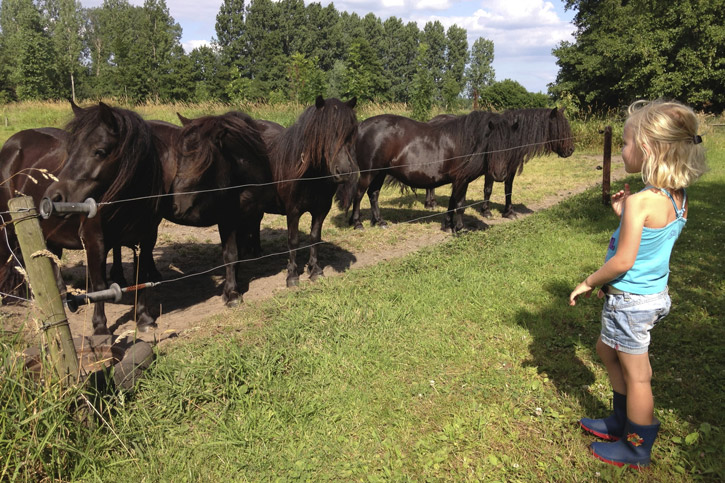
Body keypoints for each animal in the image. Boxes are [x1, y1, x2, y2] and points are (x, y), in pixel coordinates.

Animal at [340, 113, 516, 234]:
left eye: (510, 143)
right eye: (493, 143)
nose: (500, 175)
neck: (467, 142)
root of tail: (362, 126)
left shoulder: (456, 180)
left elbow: (452, 203)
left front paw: (448, 225)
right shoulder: (461, 179)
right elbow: (460, 204)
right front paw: (460, 228)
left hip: (380, 173)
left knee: (373, 194)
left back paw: (379, 221)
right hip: (369, 172)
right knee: (359, 194)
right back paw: (357, 223)